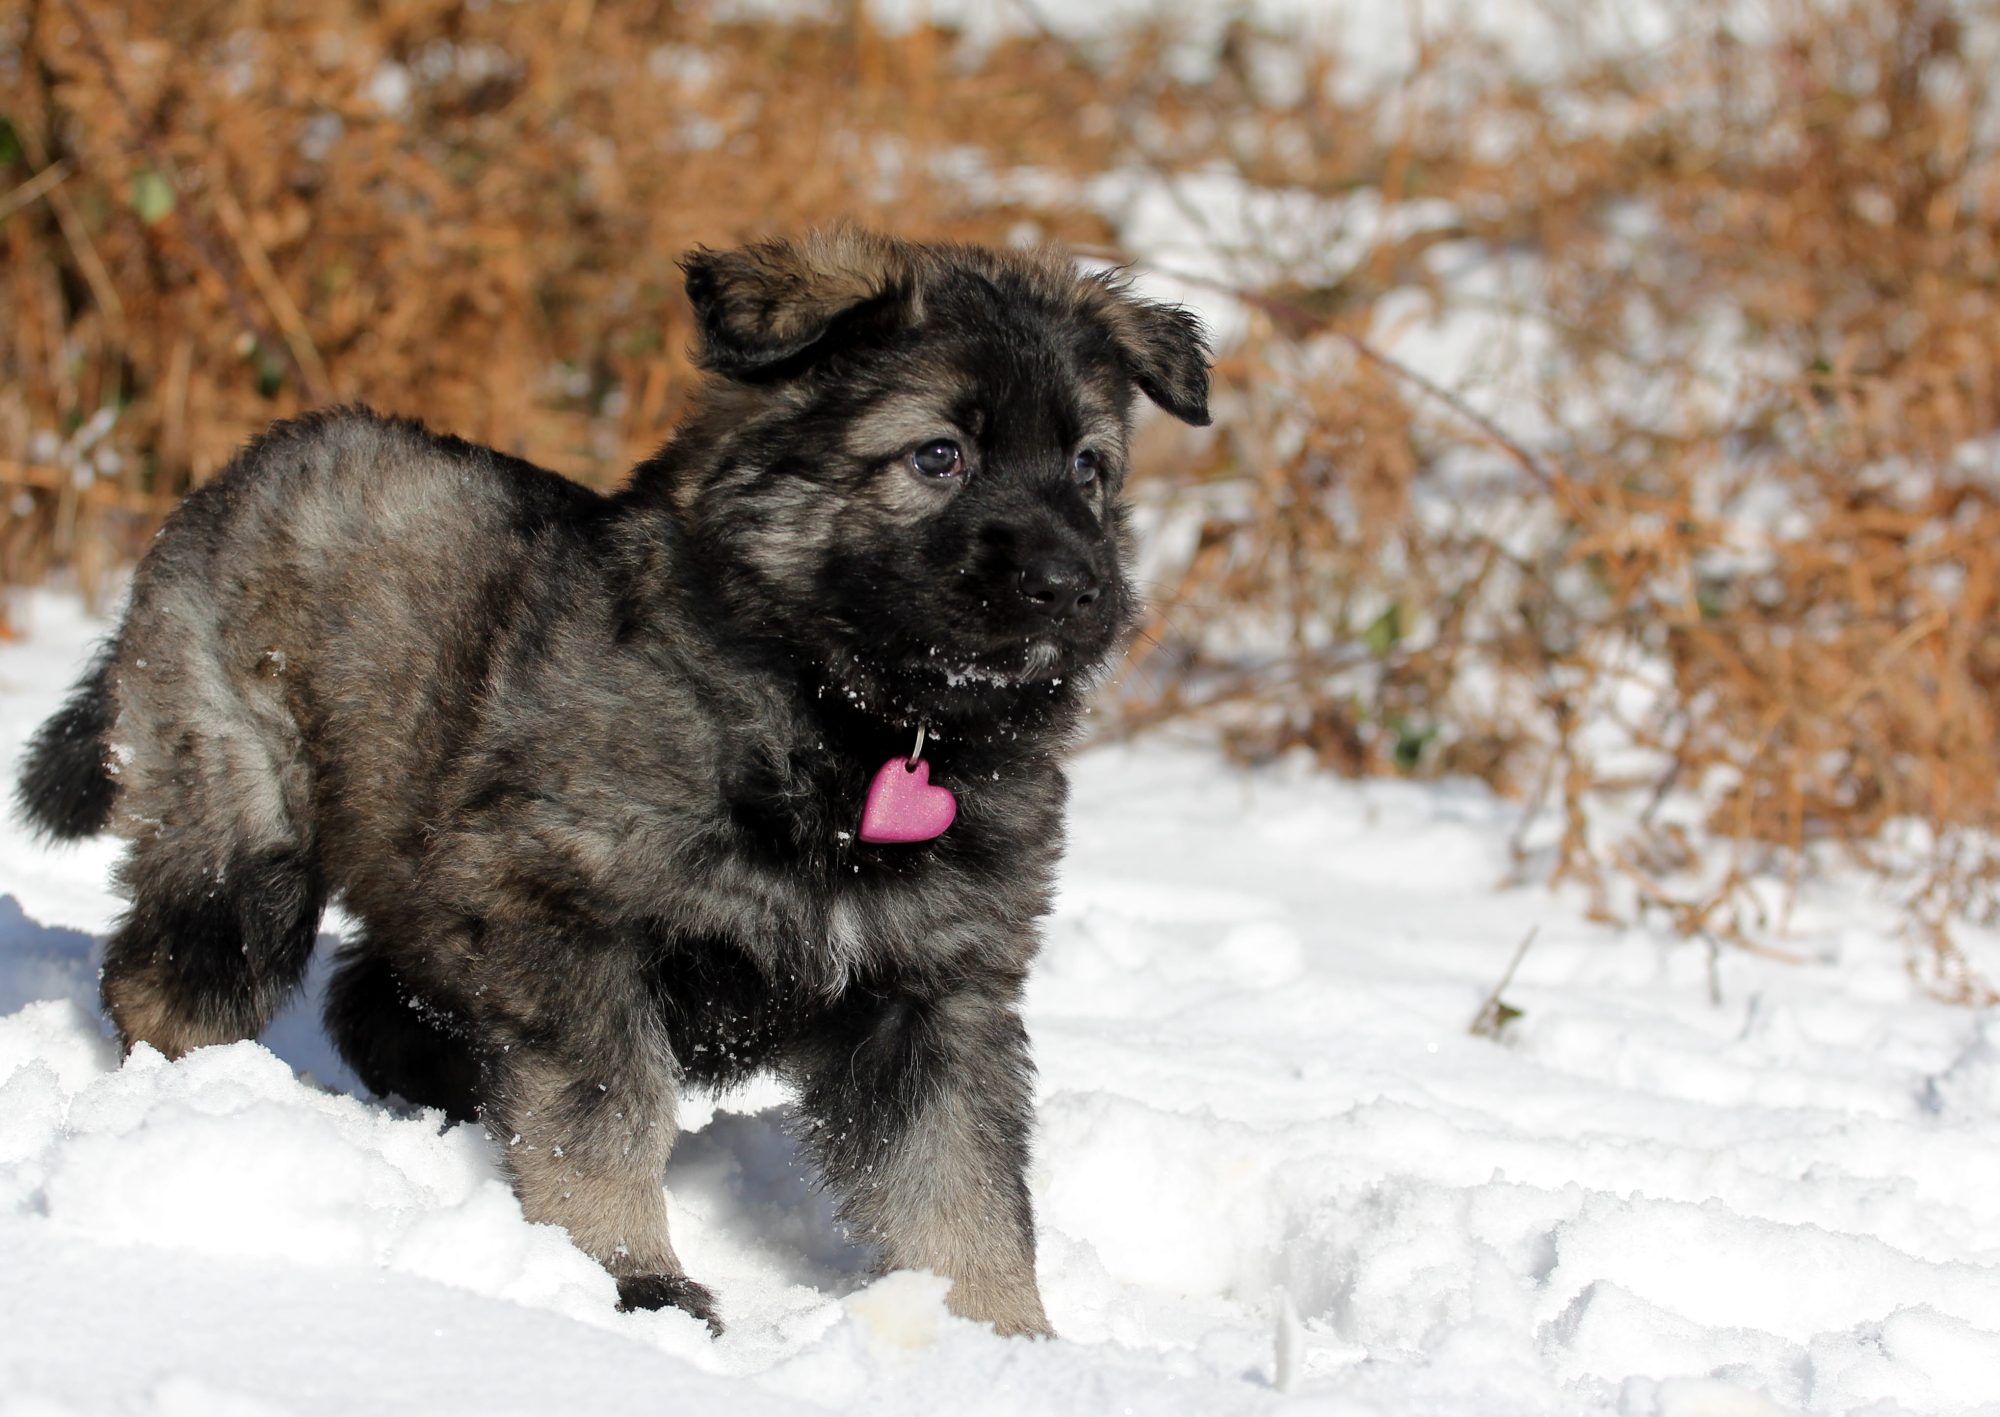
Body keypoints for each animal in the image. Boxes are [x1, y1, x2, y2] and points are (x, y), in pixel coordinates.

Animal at [15, 230, 1211, 1337]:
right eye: (937, 456)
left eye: (1090, 469)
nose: (1073, 587)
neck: (846, 720)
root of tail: (240, 469)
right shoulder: (571, 923)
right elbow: (605, 1117)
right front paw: (632, 1277)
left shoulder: (937, 992)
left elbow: (962, 1184)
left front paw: (1010, 1340)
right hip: (245, 822)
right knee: (176, 978)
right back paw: (191, 1105)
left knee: (372, 1005)